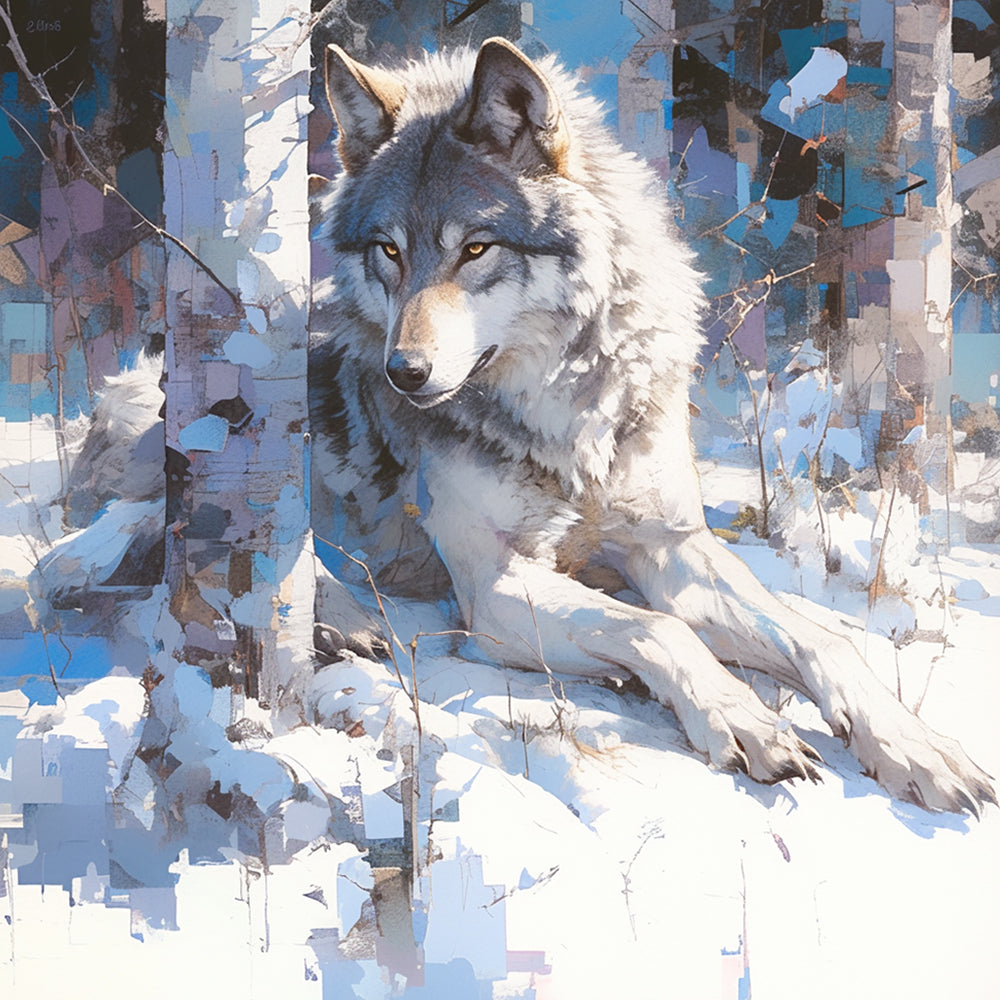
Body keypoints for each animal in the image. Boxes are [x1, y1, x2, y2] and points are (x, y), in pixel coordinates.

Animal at [308, 37, 994, 815]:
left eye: (476, 249)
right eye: (388, 250)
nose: (404, 372)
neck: (567, 418)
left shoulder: (673, 547)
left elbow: (820, 640)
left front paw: (914, 744)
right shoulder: (491, 585)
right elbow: (655, 626)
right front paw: (739, 716)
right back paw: (347, 618)